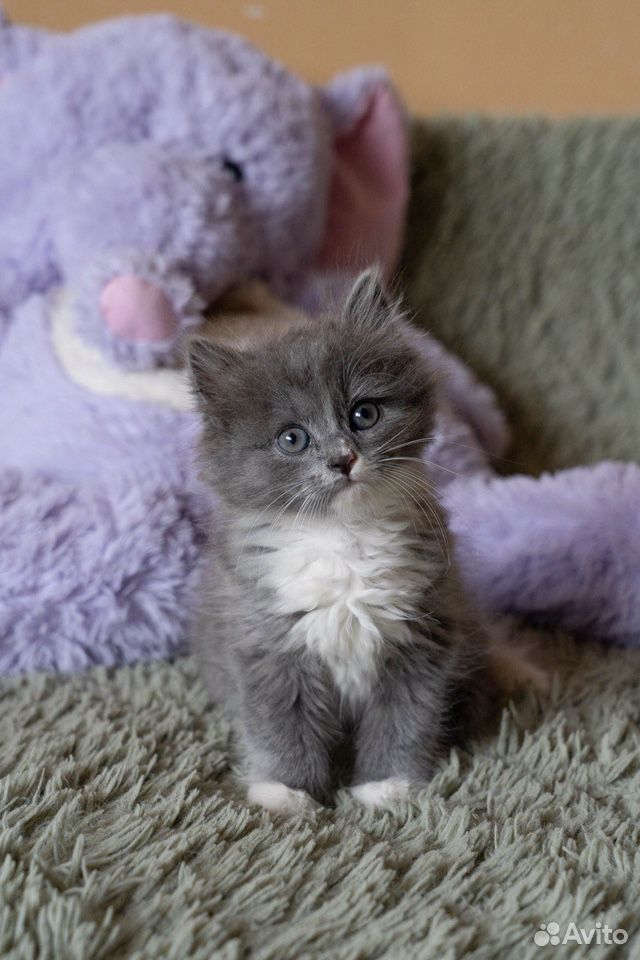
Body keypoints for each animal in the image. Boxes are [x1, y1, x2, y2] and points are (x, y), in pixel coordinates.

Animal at [188, 270, 532, 816]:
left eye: (363, 414)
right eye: (292, 439)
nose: (342, 459)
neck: (344, 538)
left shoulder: (423, 635)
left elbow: (403, 721)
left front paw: (385, 787)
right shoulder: (268, 645)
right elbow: (282, 726)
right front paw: (286, 792)